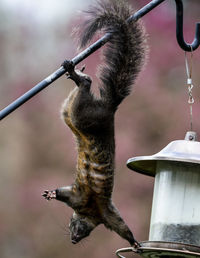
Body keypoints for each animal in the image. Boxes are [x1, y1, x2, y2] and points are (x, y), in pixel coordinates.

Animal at [42, 0, 145, 249]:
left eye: (81, 230)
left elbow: (121, 226)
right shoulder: (83, 199)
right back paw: (78, 75)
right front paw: (52, 194)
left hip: (73, 113)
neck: (90, 212)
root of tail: (109, 108)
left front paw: (134, 243)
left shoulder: (92, 206)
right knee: (85, 88)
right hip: (80, 114)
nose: (74, 240)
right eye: (72, 224)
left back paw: (78, 75)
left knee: (81, 91)